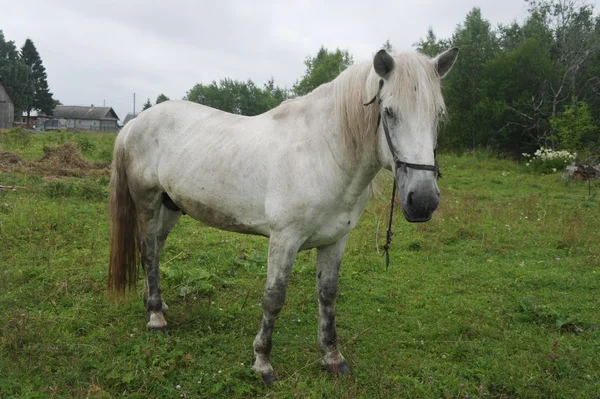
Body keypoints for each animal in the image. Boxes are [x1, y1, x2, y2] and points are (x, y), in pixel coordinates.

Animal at [108, 47, 458, 384]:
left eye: (438, 114)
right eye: (389, 112)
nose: (422, 201)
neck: (324, 152)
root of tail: (135, 124)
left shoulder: (335, 241)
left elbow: (328, 296)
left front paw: (332, 357)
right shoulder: (284, 240)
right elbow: (274, 298)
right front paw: (262, 362)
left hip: (170, 207)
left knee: (155, 249)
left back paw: (156, 303)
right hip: (148, 202)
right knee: (148, 251)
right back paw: (156, 318)